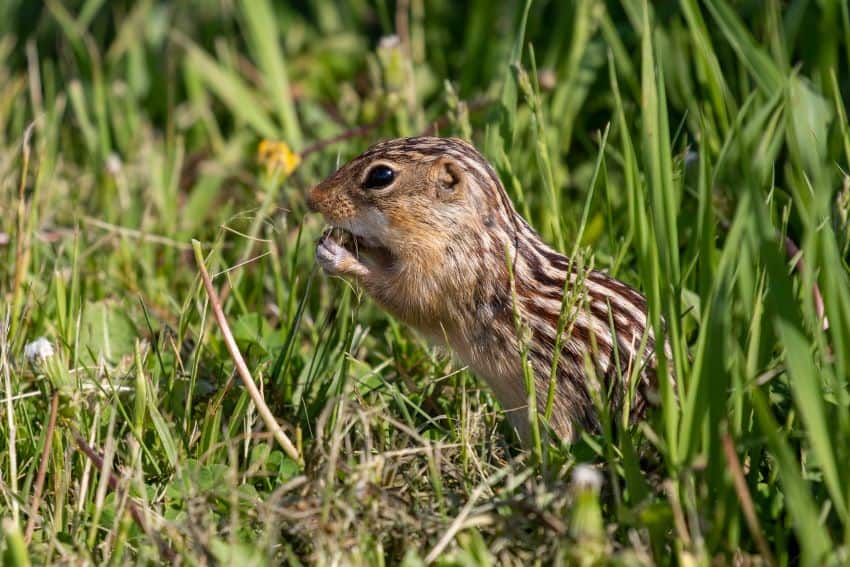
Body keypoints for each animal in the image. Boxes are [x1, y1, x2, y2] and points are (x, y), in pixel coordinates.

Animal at [308, 138, 660, 444]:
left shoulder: (447, 279)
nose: (312, 197)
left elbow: (406, 300)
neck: (472, 232)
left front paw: (339, 257)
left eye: (381, 176)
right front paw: (345, 243)